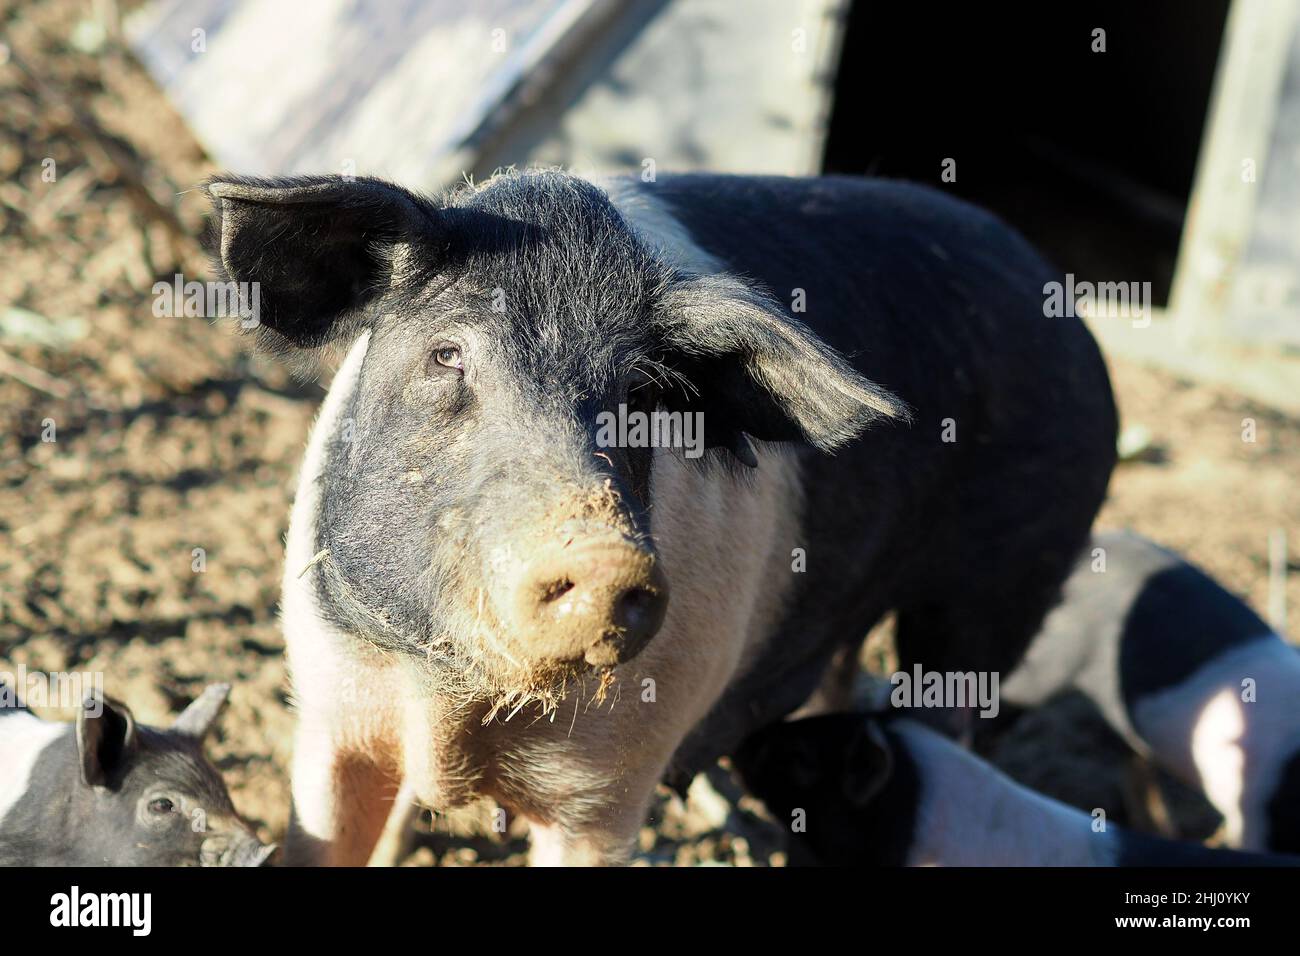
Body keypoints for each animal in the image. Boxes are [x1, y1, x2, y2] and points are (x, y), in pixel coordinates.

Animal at [205, 166, 1118, 868]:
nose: (605, 556)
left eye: (642, 396)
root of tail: (1065, 307)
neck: (459, 701)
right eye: (447, 354)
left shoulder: (611, 787)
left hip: (1004, 583)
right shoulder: (331, 712)